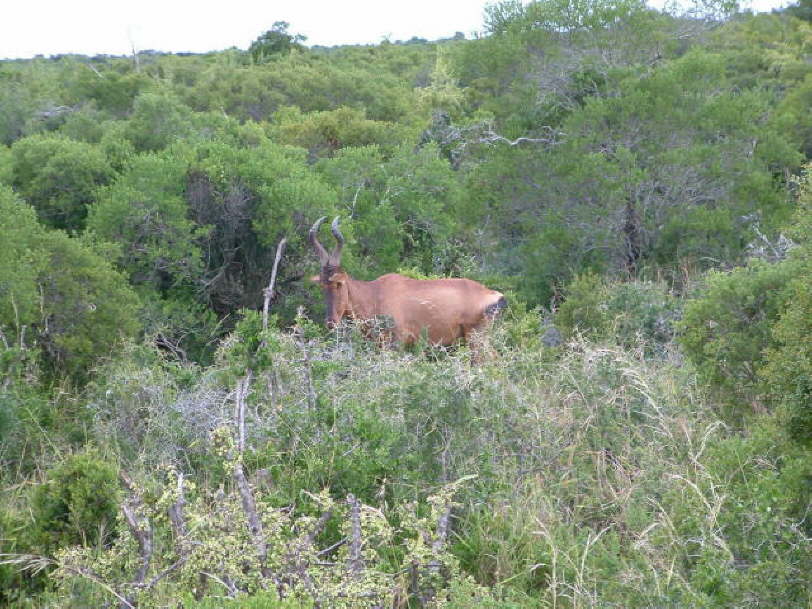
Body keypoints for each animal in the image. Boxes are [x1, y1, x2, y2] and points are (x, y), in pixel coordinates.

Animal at [308, 216, 504, 350]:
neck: (375, 293)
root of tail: (495, 295)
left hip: (477, 339)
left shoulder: (397, 342)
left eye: (338, 283)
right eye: (322, 285)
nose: (330, 322)